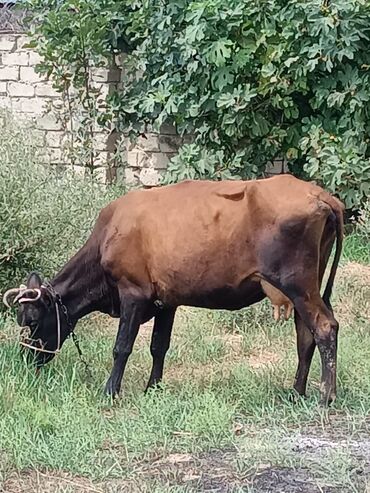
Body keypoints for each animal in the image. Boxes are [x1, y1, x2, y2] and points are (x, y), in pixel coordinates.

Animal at [3, 175, 344, 406]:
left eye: (31, 320)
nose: (25, 359)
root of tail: (320, 194)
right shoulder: (166, 301)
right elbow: (159, 345)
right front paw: (153, 388)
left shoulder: (133, 292)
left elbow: (122, 346)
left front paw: (110, 391)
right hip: (307, 284)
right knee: (305, 334)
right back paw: (296, 391)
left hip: (297, 283)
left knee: (324, 327)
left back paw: (325, 395)